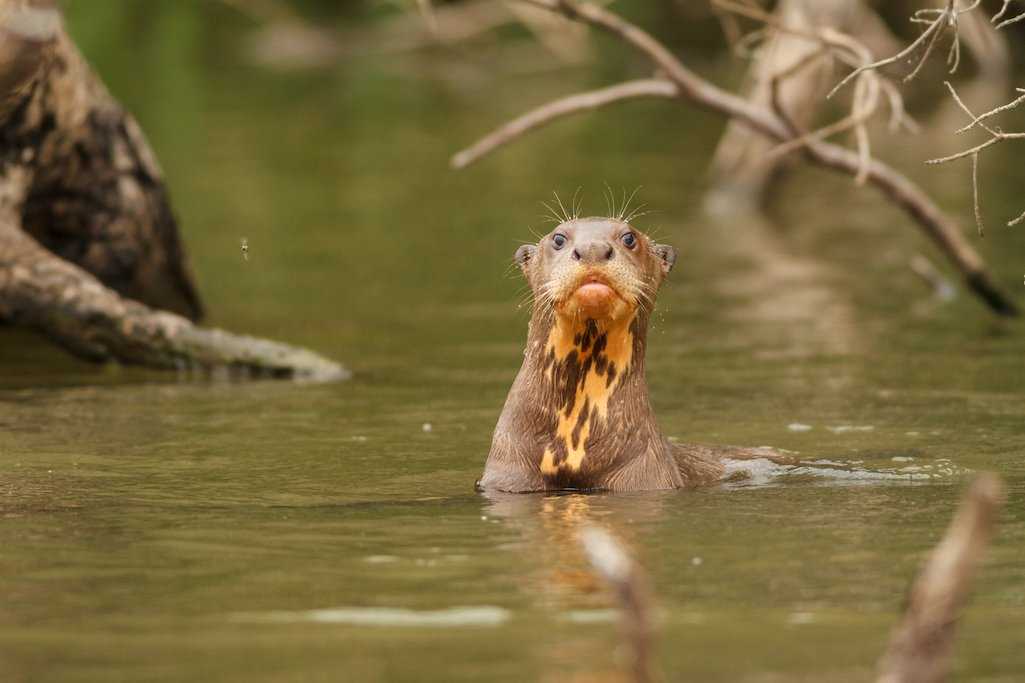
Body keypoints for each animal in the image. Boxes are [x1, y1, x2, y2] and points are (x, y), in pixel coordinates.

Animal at [475, 216, 779, 490]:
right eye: (558, 238)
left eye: (629, 238)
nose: (593, 248)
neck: (573, 446)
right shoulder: (509, 475)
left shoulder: (643, 477)